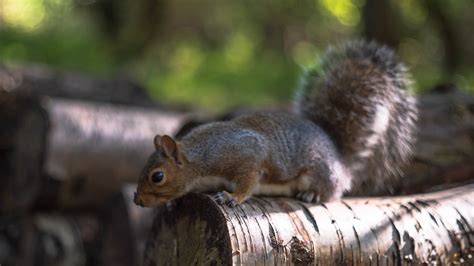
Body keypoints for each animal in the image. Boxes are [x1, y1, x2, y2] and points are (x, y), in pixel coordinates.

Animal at [133, 40, 418, 208]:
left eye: (157, 176)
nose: (137, 200)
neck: (200, 156)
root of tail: (340, 157)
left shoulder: (247, 156)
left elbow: (248, 182)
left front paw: (232, 197)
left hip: (321, 172)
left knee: (332, 192)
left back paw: (313, 195)